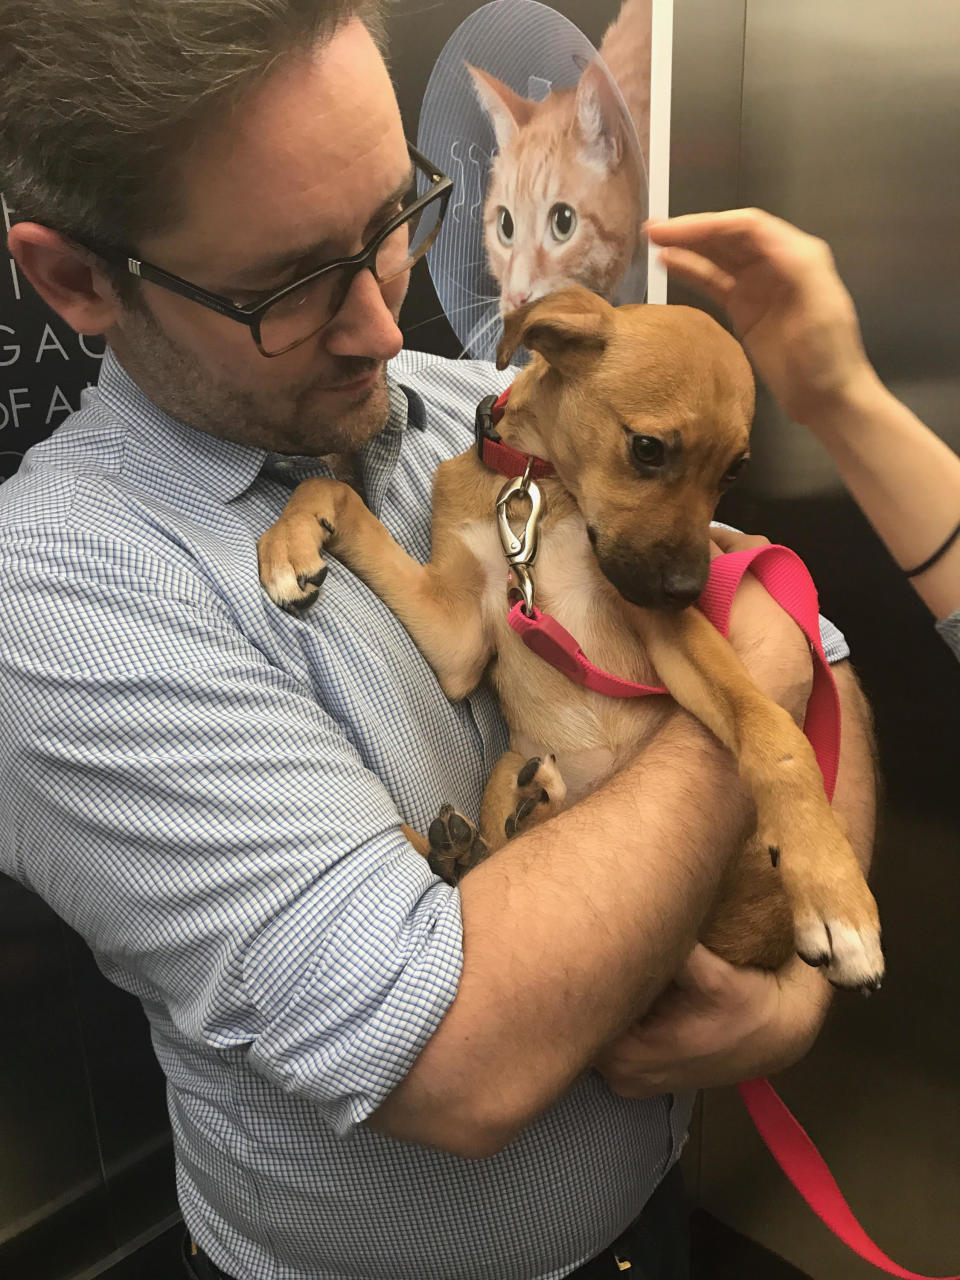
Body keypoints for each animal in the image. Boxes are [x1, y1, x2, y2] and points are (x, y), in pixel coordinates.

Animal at [257, 288, 885, 988]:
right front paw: (290, 537)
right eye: (647, 448)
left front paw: (833, 892)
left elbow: (773, 732)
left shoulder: (661, 629)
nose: (690, 590)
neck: (541, 483)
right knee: (490, 854)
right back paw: (477, 840)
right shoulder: (462, 634)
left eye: (733, 472)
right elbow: (333, 487)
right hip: (510, 762)